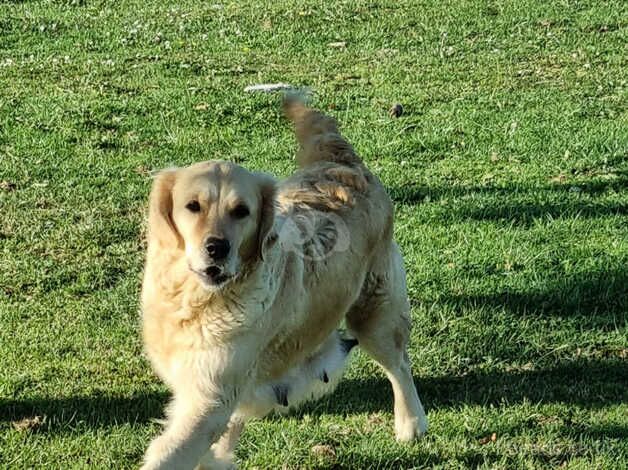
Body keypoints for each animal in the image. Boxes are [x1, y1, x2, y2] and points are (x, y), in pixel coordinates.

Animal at [141, 97, 426, 468]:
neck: (196, 301)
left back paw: (411, 423)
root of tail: (345, 163)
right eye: (192, 206)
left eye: (241, 211)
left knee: (399, 365)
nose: (217, 247)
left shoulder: (211, 396)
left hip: (375, 313)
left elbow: (169, 453)